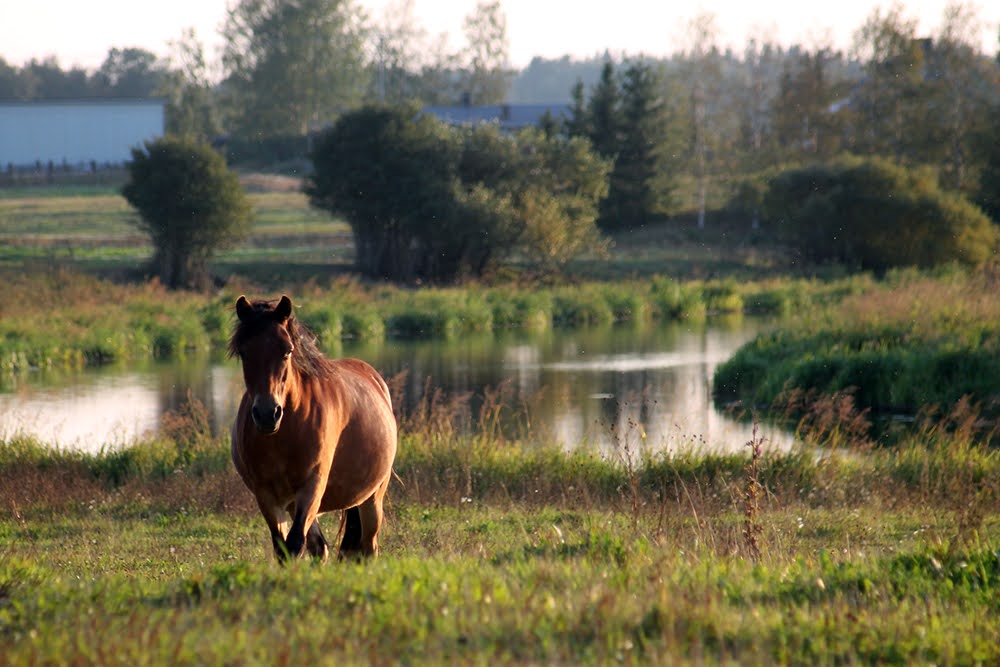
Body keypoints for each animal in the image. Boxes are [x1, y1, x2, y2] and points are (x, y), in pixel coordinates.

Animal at [229, 294, 396, 560]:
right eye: (244, 352)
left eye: (287, 350)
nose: (267, 414)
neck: (284, 435)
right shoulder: (267, 495)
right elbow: (283, 547)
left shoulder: (312, 486)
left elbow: (295, 542)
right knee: (321, 547)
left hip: (372, 497)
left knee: (368, 546)